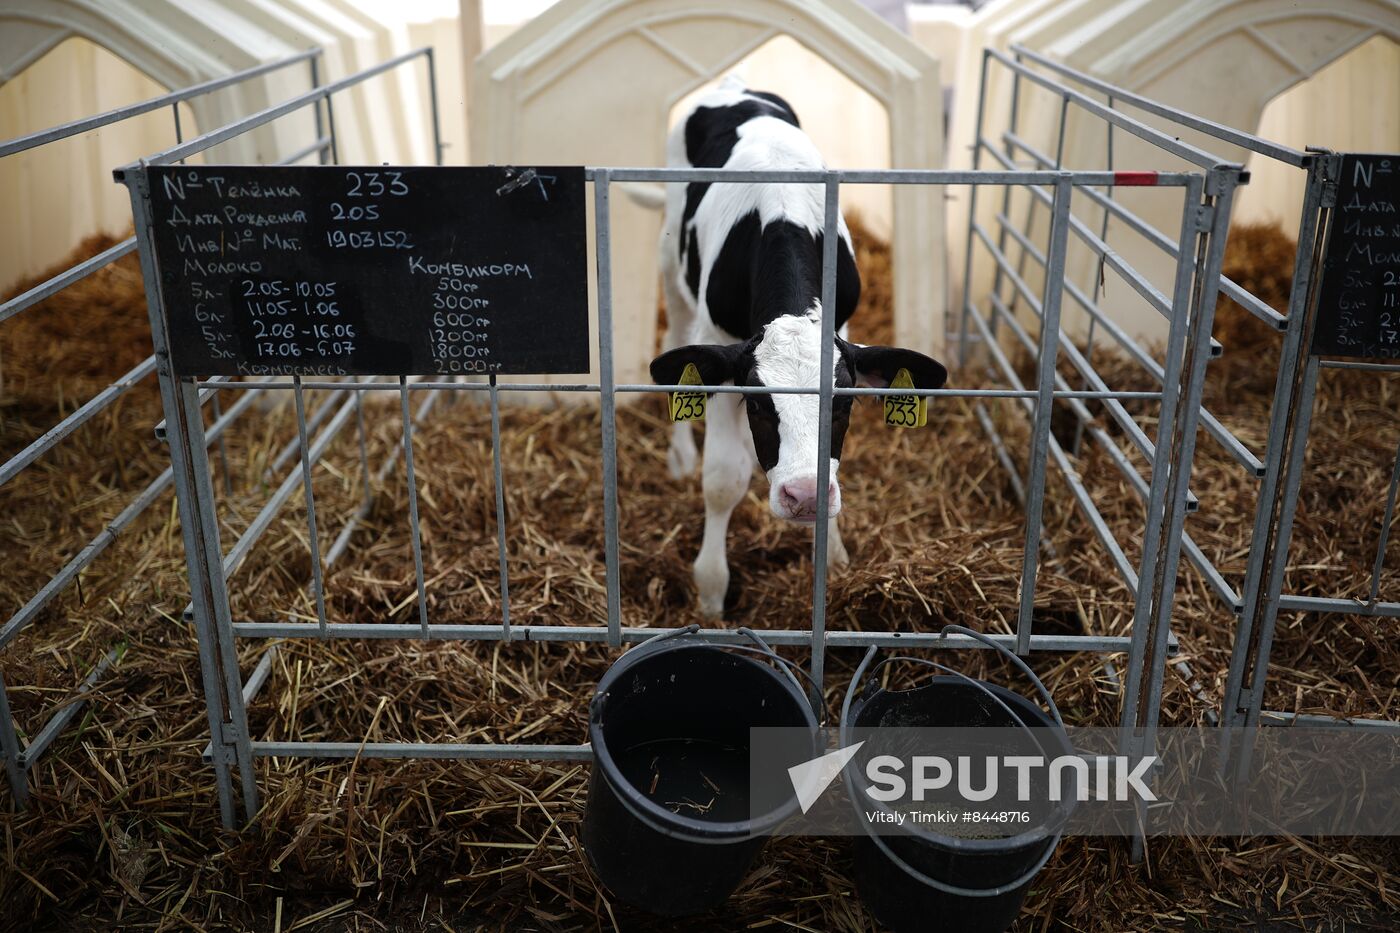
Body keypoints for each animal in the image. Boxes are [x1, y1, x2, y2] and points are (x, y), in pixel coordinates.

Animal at [649, 78, 946, 616]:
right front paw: (711, 590)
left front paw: (834, 559)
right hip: (671, 267)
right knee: (673, 339)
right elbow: (722, 479)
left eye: (844, 404)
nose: (805, 496)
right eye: (758, 404)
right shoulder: (720, 343)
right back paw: (680, 457)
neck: (782, 216)